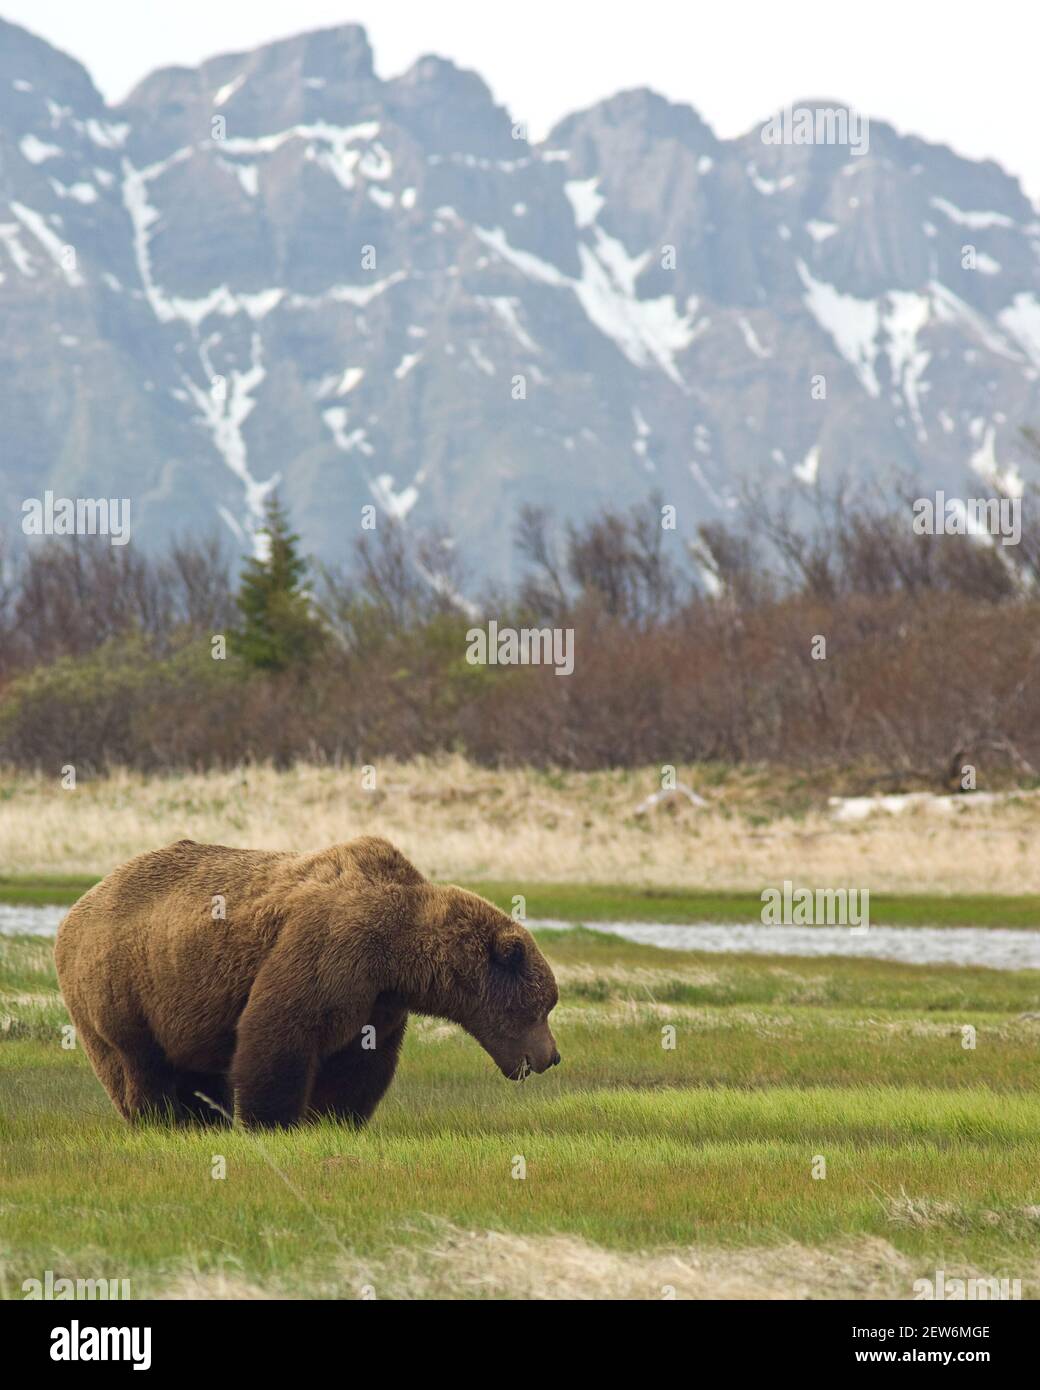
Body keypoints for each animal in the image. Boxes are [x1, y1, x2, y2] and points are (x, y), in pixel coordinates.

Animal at [54, 834, 561, 1128]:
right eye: (542, 1006)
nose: (551, 1057)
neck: (399, 954)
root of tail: (77, 908)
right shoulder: (331, 948)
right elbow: (281, 1031)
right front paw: (271, 1120)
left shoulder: (376, 999)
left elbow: (359, 1061)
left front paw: (336, 1118)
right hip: (121, 985)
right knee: (140, 1062)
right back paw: (162, 1119)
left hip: (183, 997)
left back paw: (203, 1119)